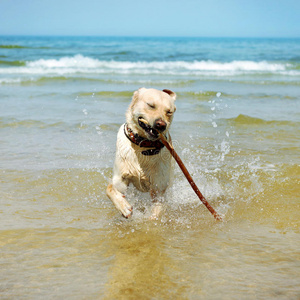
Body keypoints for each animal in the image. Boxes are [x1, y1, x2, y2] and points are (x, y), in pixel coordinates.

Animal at [106, 88, 176, 219]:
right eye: (151, 105)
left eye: (169, 112)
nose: (161, 125)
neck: (143, 145)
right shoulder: (120, 179)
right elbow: (110, 188)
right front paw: (124, 207)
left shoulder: (158, 189)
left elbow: (156, 211)